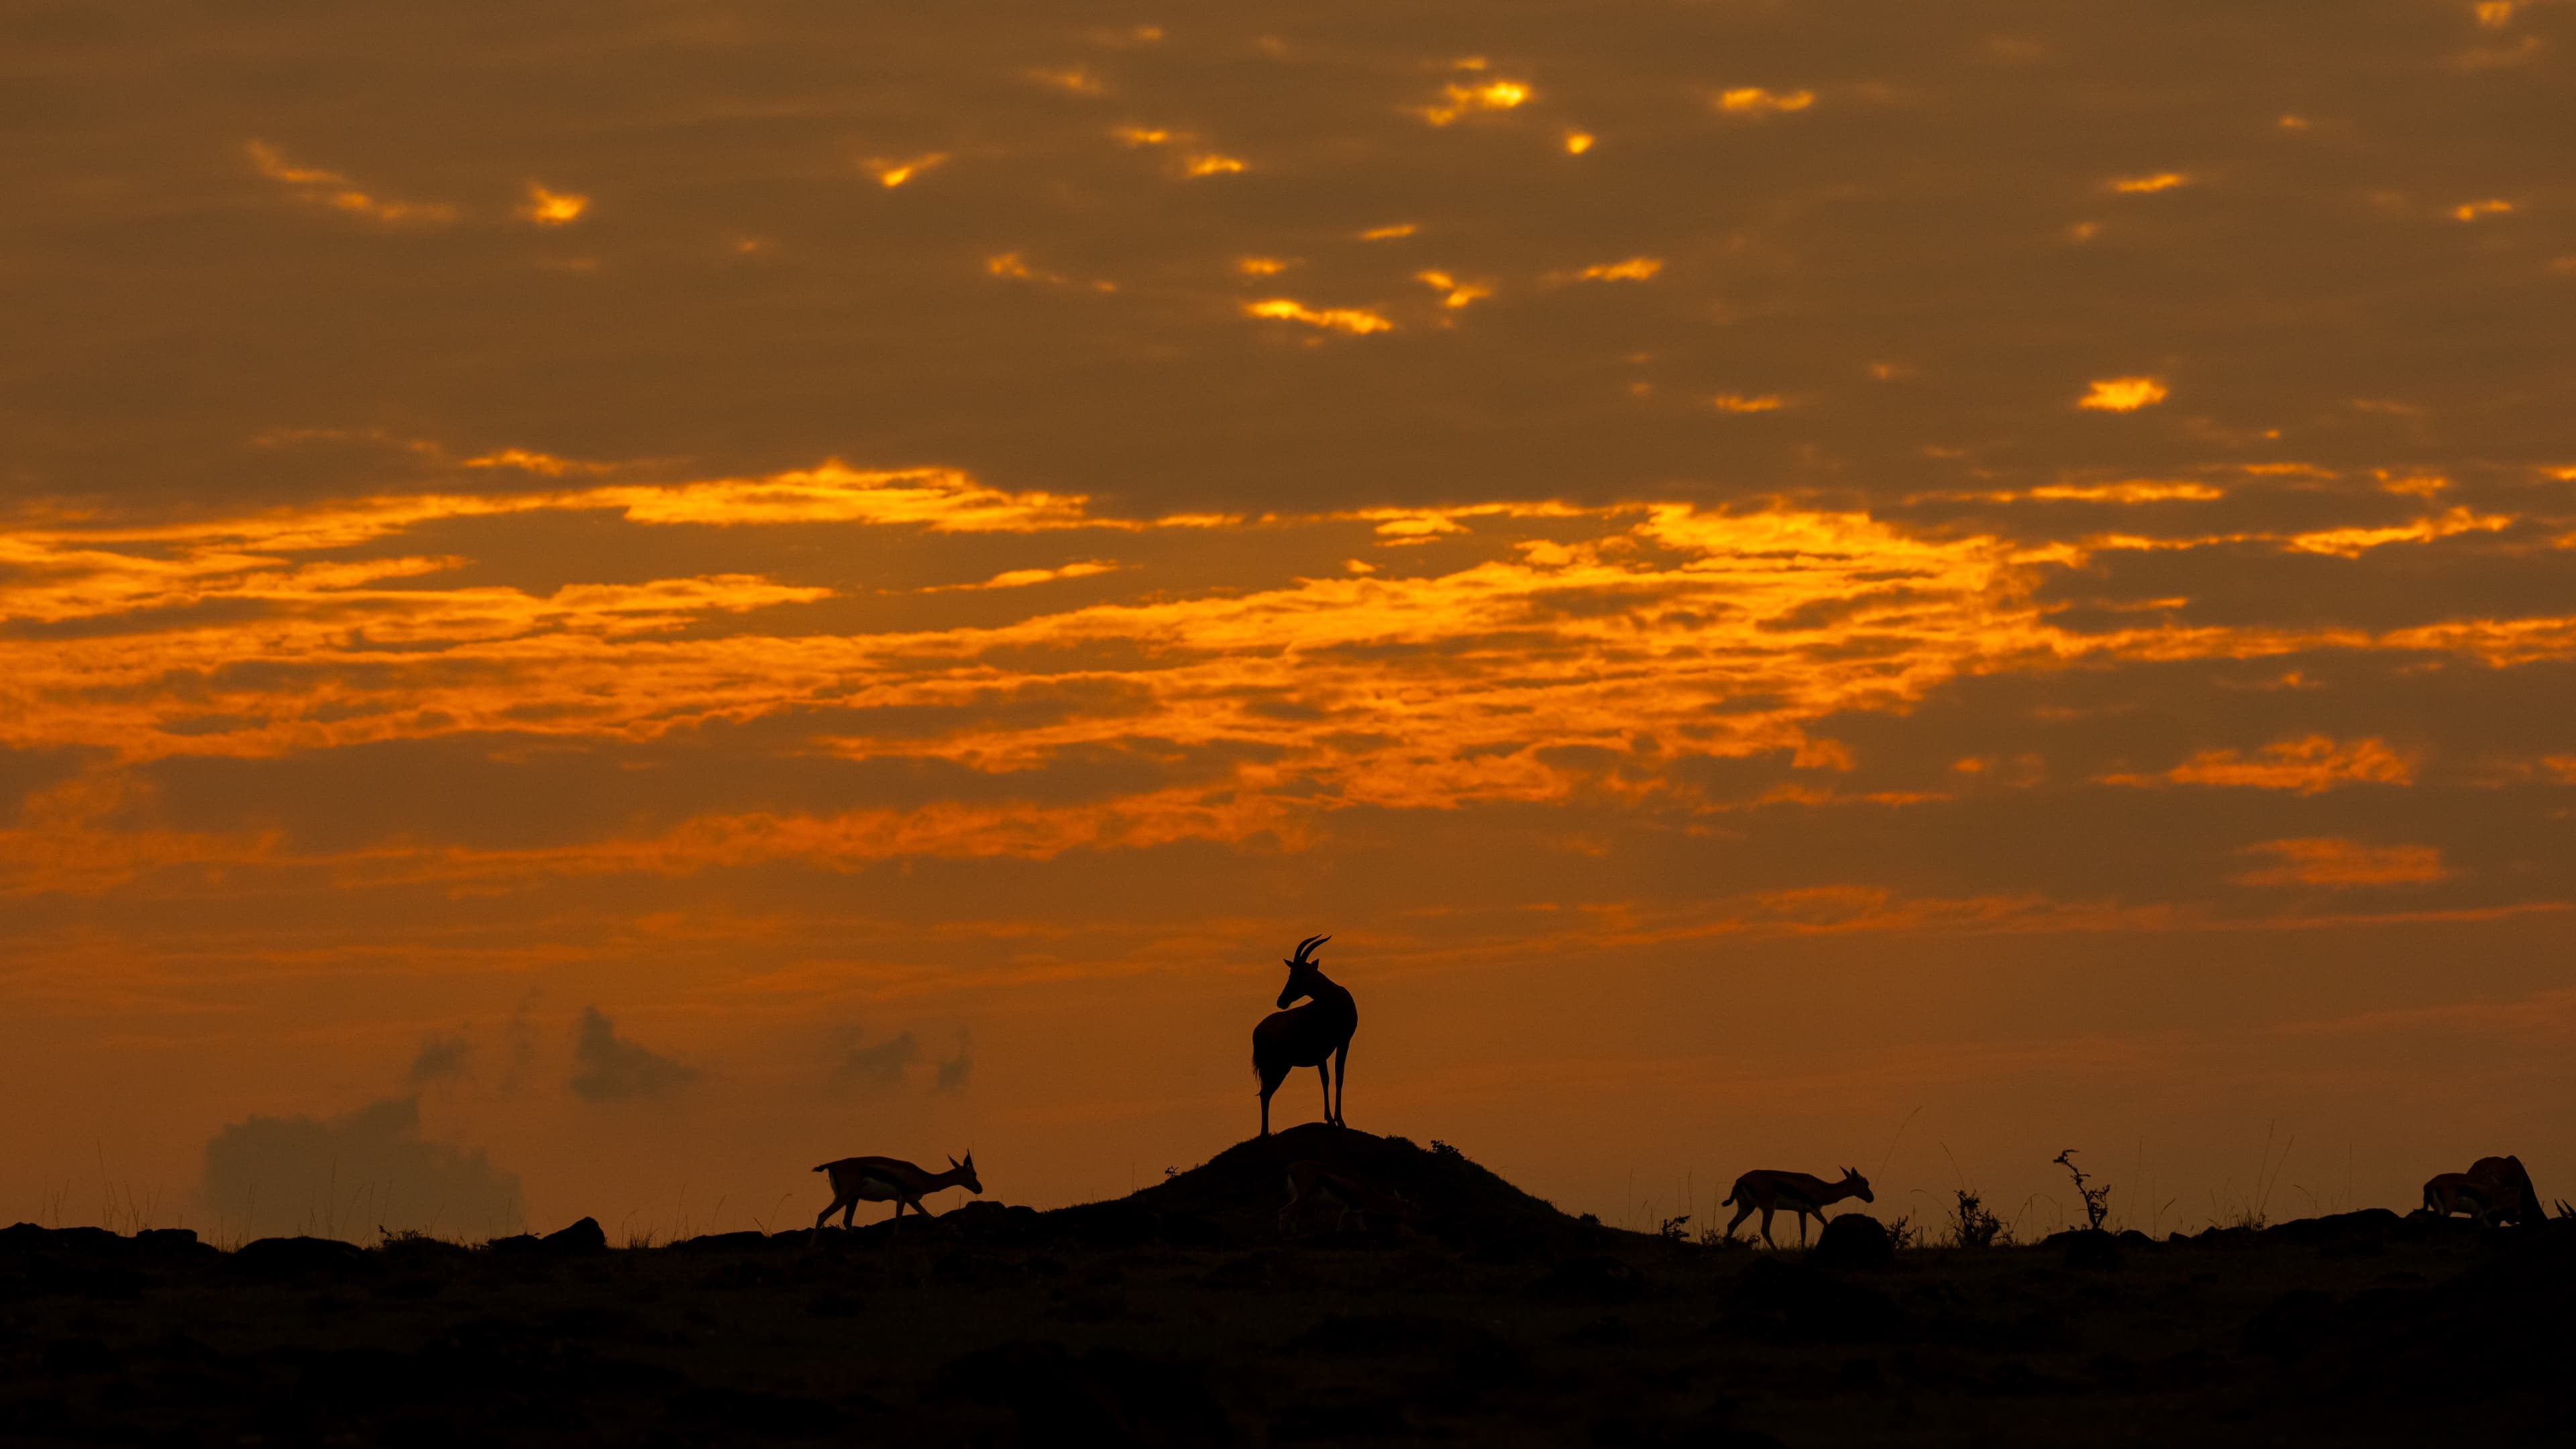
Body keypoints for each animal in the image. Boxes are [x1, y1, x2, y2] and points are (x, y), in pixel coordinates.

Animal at [812, 1151, 980, 1235]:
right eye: (973, 1174)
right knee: (822, 1215)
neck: (922, 1177)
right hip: (844, 1197)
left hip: (853, 1198)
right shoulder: (903, 1198)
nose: (980, 1188)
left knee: (847, 1221)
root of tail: (833, 1164)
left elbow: (930, 1218)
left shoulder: (913, 1200)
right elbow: (898, 1225)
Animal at [1252, 934, 1356, 1137]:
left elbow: (1337, 1077)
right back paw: (1264, 1133)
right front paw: (1332, 1120)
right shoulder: (1322, 1050)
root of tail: (1257, 1031)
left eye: (1297, 974)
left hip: (1282, 1066)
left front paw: (1338, 1120)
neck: (1333, 1000)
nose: (1281, 1001)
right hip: (1277, 1066)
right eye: (1291, 973)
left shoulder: (1342, 1043)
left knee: (1266, 1093)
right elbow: (1326, 1080)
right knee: (1265, 1093)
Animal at [1278, 1160, 1417, 1236]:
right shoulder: (1350, 1208)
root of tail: (1288, 1169)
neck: (1366, 1190)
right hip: (1302, 1199)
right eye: (1413, 1211)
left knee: (1292, 1215)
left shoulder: (1356, 1211)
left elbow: (1361, 1229)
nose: (1415, 1227)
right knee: (1283, 1212)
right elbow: (1340, 1228)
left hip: (1300, 1201)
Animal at [1721, 1167, 1873, 1248]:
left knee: (1731, 1224)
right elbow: (1826, 1224)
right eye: (1866, 1183)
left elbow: (1803, 1231)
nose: (1871, 1198)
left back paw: (1725, 1247)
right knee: (1765, 1230)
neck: (1822, 1188)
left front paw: (1803, 1249)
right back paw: (1777, 1251)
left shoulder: (1802, 1212)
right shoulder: (1814, 1209)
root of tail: (1740, 1181)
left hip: (1747, 1208)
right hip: (1769, 1208)